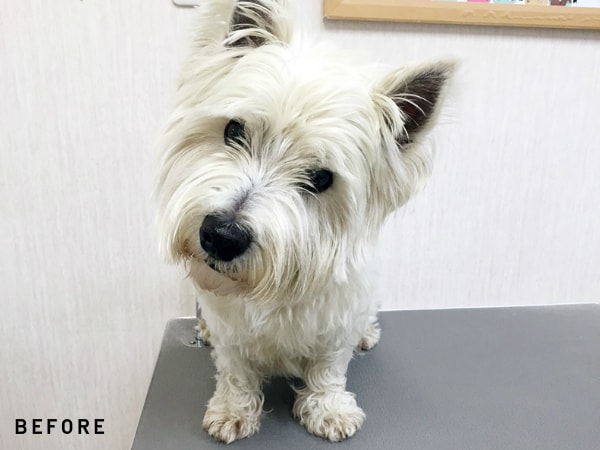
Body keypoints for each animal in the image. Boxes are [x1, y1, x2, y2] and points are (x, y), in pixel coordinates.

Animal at [157, 0, 454, 443]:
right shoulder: (230, 326)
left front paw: (328, 409)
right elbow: (234, 367)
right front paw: (233, 410)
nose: (222, 235)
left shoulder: (339, 319)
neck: (276, 284)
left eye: (321, 178)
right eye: (234, 130)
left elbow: (329, 366)